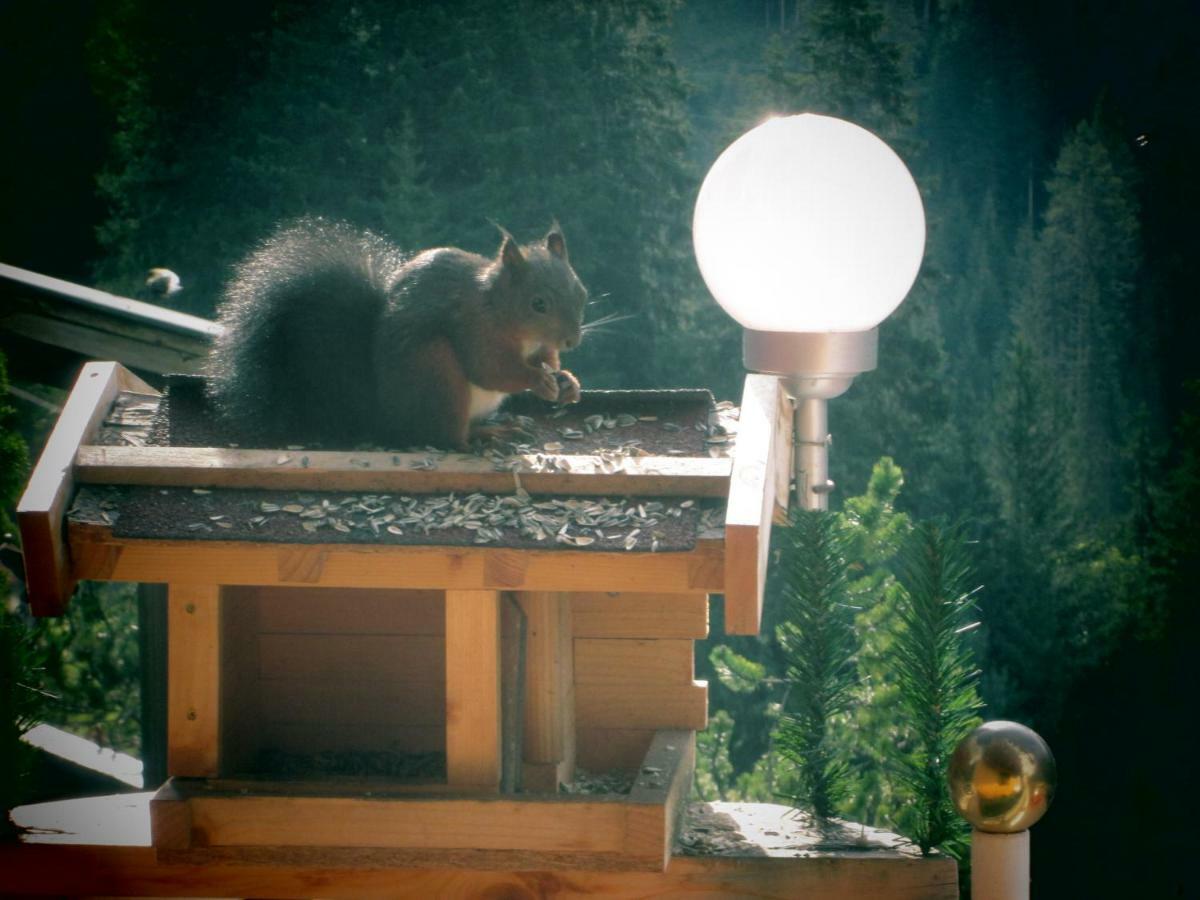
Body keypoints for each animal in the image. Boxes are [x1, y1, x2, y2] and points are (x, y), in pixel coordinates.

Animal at [206, 219, 585, 451]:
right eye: (538, 304)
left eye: (581, 291)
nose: (572, 342)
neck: (498, 307)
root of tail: (384, 416)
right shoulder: (472, 327)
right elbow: (489, 369)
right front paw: (538, 380)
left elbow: (546, 360)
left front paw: (566, 381)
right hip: (436, 372)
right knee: (445, 437)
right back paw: (487, 436)